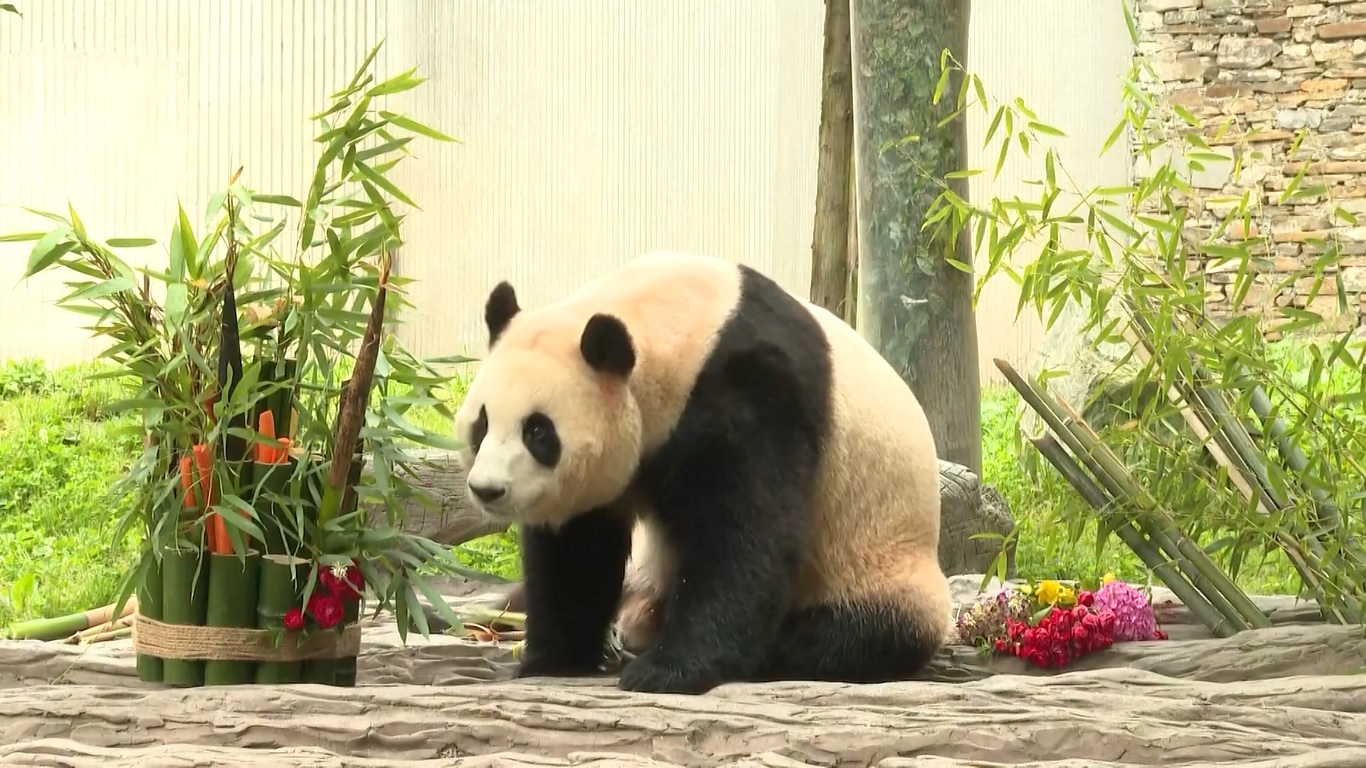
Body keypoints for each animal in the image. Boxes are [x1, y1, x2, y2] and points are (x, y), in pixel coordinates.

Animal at [453, 251, 950, 695]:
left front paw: (667, 671)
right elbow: (578, 547)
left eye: (538, 432)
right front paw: (553, 658)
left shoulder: (752, 391)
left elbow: (741, 535)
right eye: (482, 424)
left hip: (879, 562)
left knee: (861, 632)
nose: (487, 490)